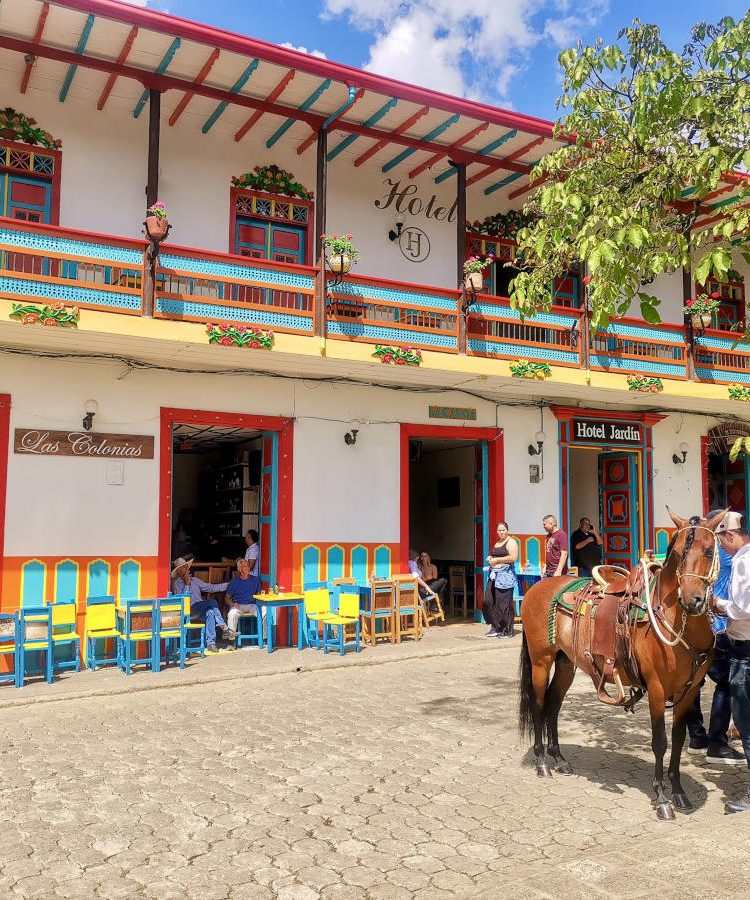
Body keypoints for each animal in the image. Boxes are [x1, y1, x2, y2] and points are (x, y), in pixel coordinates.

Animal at [520, 510, 724, 820]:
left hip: (566, 663)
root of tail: (538, 587)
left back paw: (560, 759)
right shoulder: (656, 689)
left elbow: (678, 739)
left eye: (709, 550)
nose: (691, 600)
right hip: (541, 660)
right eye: (678, 553)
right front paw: (661, 798)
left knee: (553, 704)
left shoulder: (689, 691)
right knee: (539, 704)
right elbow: (660, 742)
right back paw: (542, 761)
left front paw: (678, 792)